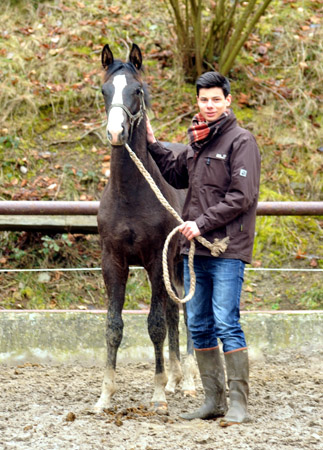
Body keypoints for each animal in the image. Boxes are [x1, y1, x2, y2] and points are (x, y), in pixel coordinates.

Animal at [95, 44, 196, 414]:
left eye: (136, 91)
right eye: (104, 90)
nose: (115, 133)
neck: (130, 195)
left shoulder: (155, 260)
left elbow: (155, 325)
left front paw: (157, 395)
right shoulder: (113, 261)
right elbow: (113, 326)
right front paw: (105, 396)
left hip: (180, 261)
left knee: (183, 313)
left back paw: (189, 381)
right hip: (173, 265)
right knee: (174, 311)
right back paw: (177, 379)